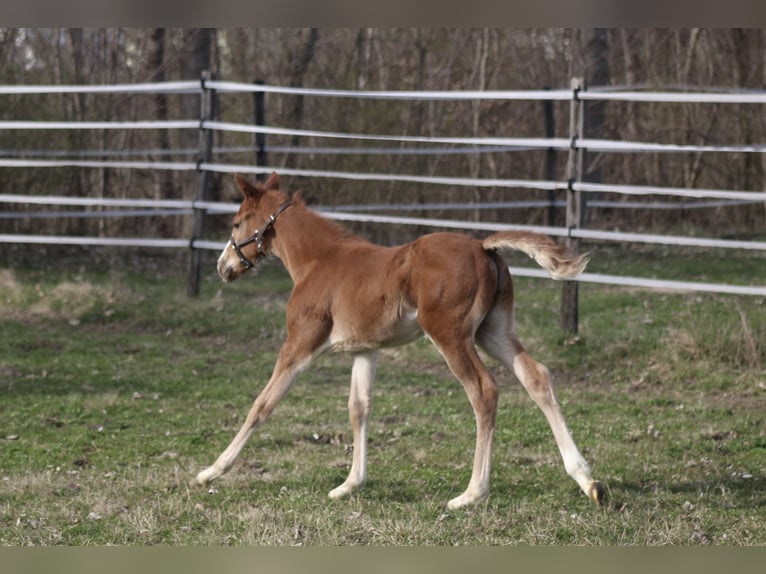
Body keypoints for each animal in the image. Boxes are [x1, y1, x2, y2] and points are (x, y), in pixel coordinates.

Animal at [195, 172, 604, 509]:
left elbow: (263, 403)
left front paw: (211, 471)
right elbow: (359, 407)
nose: (222, 267)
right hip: (494, 330)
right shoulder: (366, 350)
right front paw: (349, 484)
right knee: (536, 376)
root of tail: (482, 247)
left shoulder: (300, 343)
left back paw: (471, 493)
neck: (317, 262)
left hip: (449, 333)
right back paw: (586, 479)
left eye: (236, 222)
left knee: (483, 390)